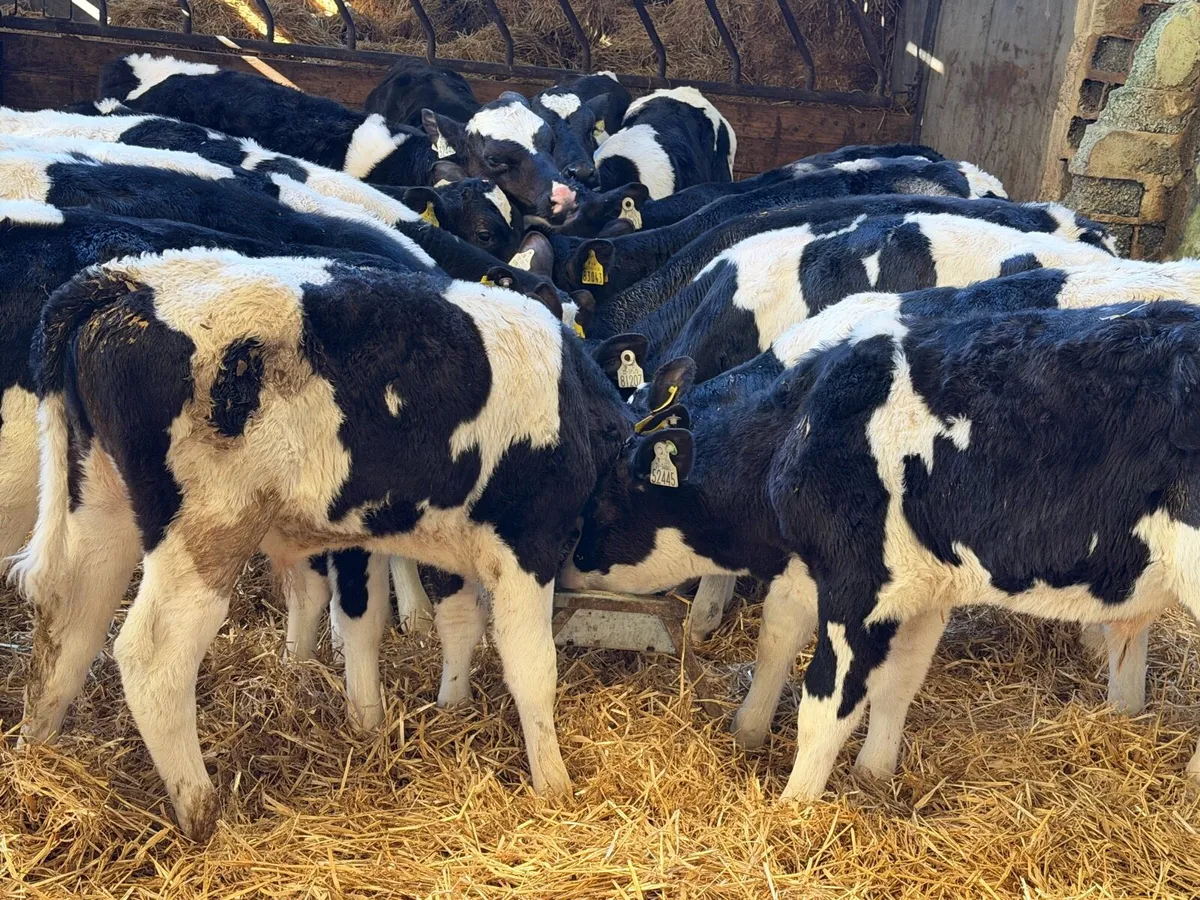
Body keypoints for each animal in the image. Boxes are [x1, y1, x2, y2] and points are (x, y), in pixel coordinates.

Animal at [15, 248, 637, 840]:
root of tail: (127, 281)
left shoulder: (454, 539)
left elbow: (457, 623)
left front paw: (450, 707)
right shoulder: (531, 539)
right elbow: (532, 665)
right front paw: (554, 786)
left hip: (99, 504)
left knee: (70, 627)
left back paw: (35, 757)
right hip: (207, 528)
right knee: (152, 657)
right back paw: (202, 813)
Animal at [562, 299, 1200, 799]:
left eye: (603, 494)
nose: (561, 561)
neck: (802, 428)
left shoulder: (857, 591)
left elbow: (828, 705)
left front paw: (793, 809)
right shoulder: (915, 586)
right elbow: (876, 675)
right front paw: (863, 772)